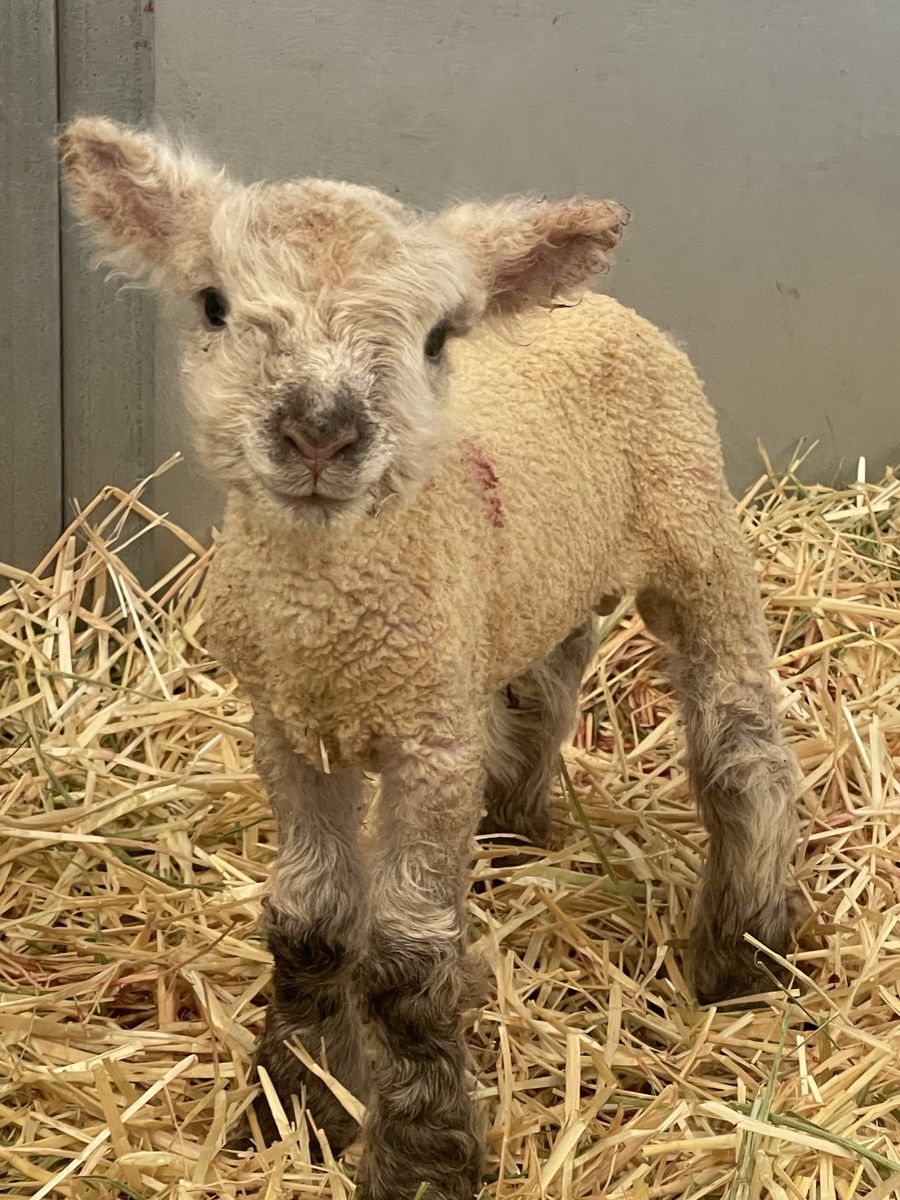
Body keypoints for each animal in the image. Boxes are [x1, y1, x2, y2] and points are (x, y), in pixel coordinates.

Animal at [58, 116, 802, 1200]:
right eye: (214, 304)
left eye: (438, 336)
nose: (320, 434)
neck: (334, 621)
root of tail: (594, 304)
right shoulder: (288, 723)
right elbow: (308, 919)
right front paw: (298, 1102)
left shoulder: (429, 743)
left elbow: (406, 963)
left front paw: (419, 1155)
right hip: (534, 580)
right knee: (543, 684)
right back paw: (514, 828)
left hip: (694, 526)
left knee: (743, 743)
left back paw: (743, 952)